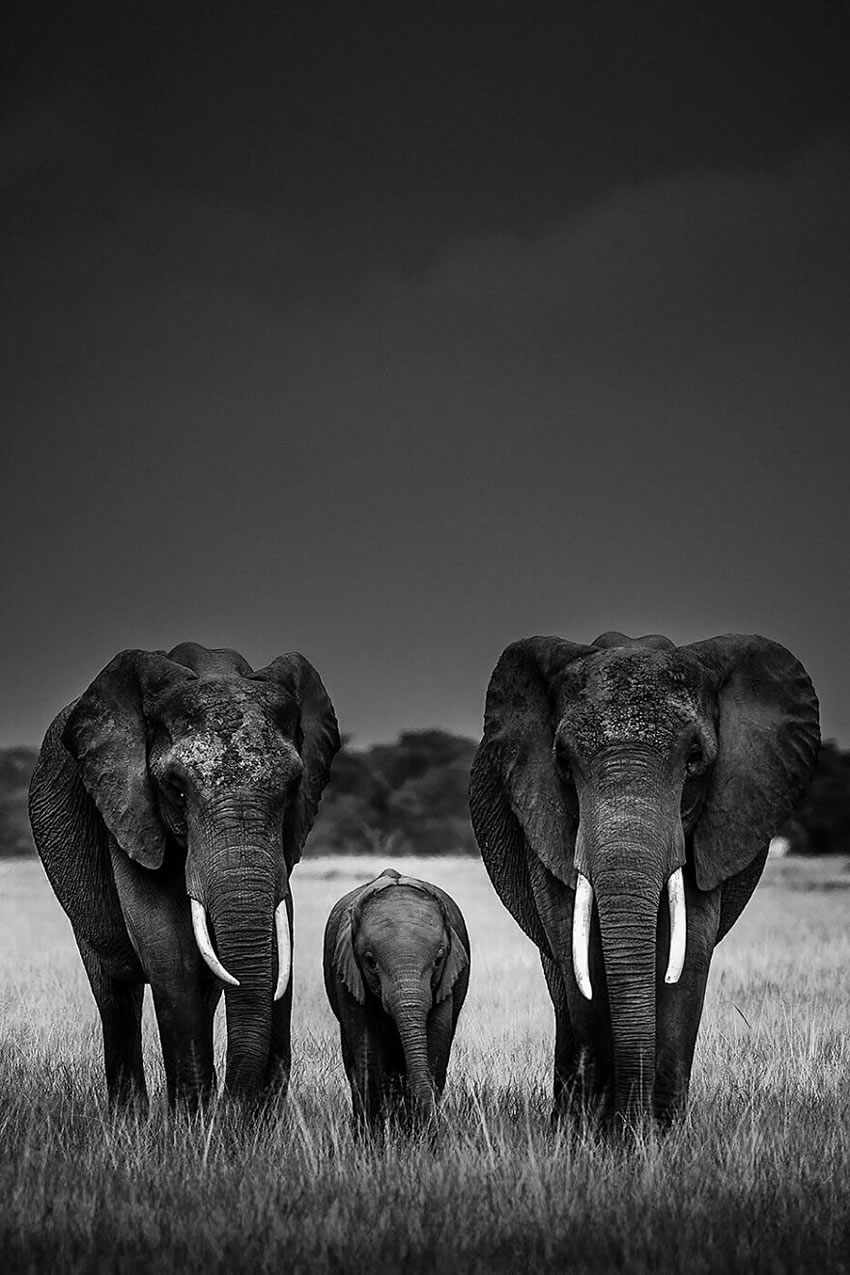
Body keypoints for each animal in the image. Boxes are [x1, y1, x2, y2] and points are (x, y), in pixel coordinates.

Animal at [27, 642, 338, 1111]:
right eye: (176, 789)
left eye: (293, 787)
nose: (237, 1107)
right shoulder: (127, 808)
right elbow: (167, 947)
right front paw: (192, 1121)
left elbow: (275, 936)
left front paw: (229, 1119)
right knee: (116, 992)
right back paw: (130, 1117)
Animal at [326, 867, 471, 1127]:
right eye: (370, 962)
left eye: (438, 960)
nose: (433, 1123)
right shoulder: (346, 972)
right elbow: (367, 1045)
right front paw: (374, 1134)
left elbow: (437, 1040)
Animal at [468, 629, 820, 1127]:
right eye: (563, 762)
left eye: (694, 758)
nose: (632, 1124)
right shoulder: (543, 814)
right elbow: (578, 952)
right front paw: (600, 1132)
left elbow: (690, 953)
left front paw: (656, 1135)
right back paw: (566, 1120)